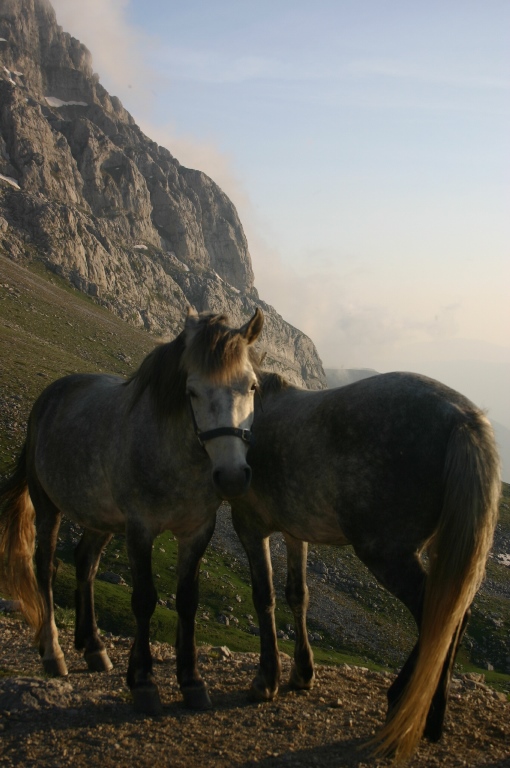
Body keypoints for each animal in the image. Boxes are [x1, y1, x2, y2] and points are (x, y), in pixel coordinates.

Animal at [229, 368, 500, 760]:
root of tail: (463, 417)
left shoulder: (249, 525)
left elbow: (264, 597)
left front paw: (266, 681)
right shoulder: (296, 532)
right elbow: (298, 595)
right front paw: (302, 673)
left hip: (387, 554)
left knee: (438, 614)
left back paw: (402, 704)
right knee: (453, 614)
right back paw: (430, 718)